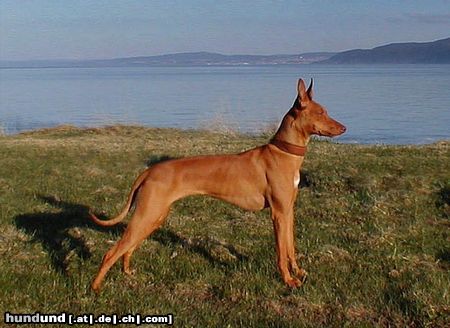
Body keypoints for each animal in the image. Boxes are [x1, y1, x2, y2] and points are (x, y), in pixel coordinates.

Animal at [89, 79, 346, 292]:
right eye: (321, 112)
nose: (344, 128)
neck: (283, 152)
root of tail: (149, 170)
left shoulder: (288, 211)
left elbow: (291, 246)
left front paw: (298, 272)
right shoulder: (278, 213)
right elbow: (281, 252)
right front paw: (288, 280)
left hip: (154, 217)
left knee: (128, 247)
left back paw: (127, 272)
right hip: (147, 214)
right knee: (112, 251)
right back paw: (95, 287)